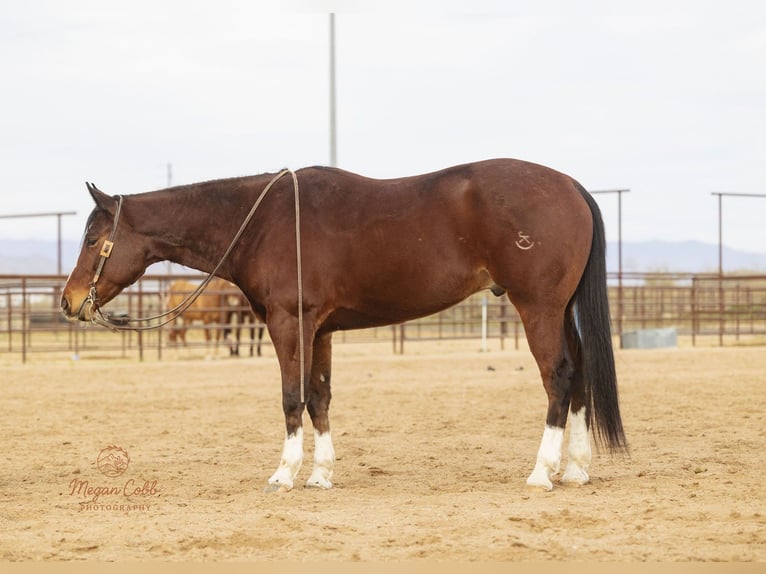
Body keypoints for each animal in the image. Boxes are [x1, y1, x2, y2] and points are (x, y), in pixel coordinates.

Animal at [60, 158, 626, 492]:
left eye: (91, 238)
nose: (69, 301)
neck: (262, 222)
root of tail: (570, 186)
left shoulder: (289, 323)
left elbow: (292, 396)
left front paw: (286, 473)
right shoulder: (321, 329)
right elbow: (319, 397)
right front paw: (321, 473)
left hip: (538, 308)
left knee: (557, 376)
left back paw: (542, 471)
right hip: (560, 309)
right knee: (579, 374)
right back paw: (576, 468)